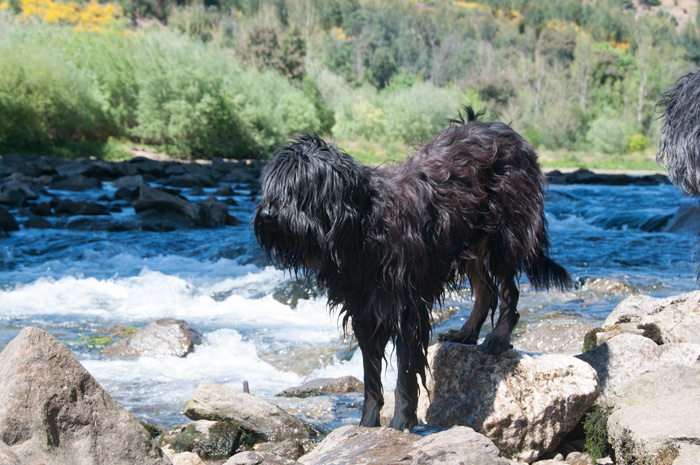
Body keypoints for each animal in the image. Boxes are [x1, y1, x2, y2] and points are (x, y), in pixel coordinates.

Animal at [254, 108, 572, 432]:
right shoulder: (365, 311)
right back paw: (466, 332)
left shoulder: (406, 310)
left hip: (504, 233)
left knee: (509, 290)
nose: (266, 215)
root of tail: (506, 131)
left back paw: (499, 336)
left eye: (297, 190)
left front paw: (399, 424)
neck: (361, 229)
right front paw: (367, 424)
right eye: (271, 188)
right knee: (486, 291)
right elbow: (371, 380)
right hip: (465, 240)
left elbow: (404, 378)